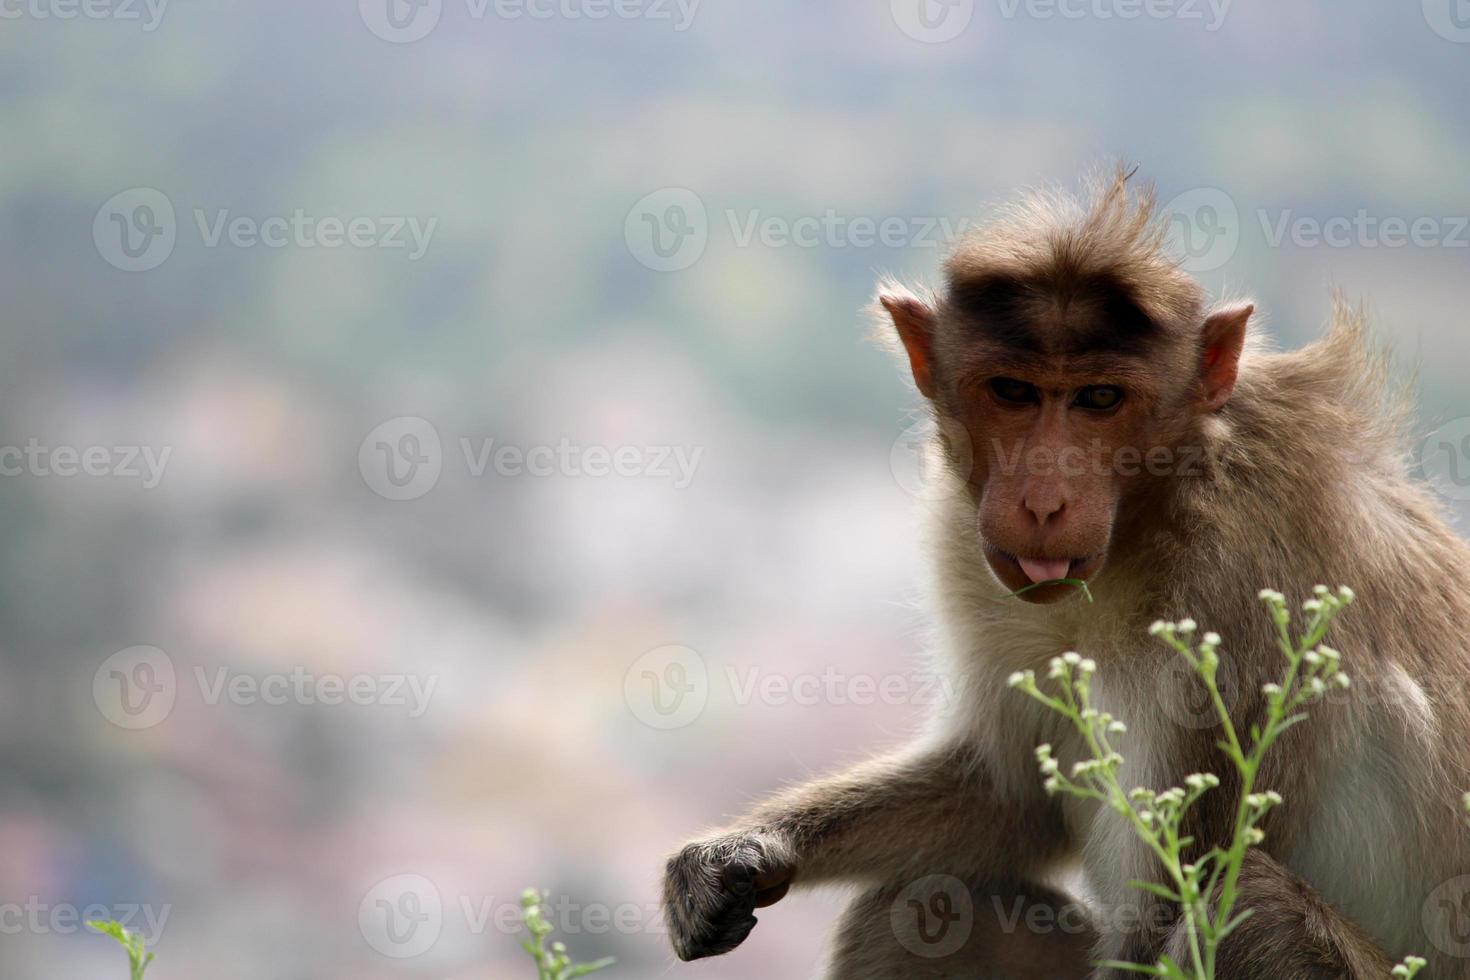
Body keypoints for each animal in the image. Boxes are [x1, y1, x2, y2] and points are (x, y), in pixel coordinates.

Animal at [661, 170, 1470, 980]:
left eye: (1100, 399)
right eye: (1013, 392)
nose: (1044, 502)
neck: (1147, 518)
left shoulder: (1243, 580)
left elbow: (1174, 900)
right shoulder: (967, 542)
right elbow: (1010, 797)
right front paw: (742, 853)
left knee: (1249, 910)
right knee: (921, 906)